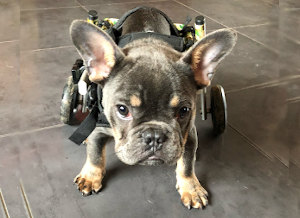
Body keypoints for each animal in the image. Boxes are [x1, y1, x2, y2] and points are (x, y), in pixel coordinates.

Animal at [70, 6, 237, 209]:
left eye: (184, 111)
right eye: (122, 110)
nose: (154, 136)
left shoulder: (188, 136)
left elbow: (187, 164)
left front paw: (191, 188)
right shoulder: (99, 126)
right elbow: (95, 153)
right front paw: (90, 176)